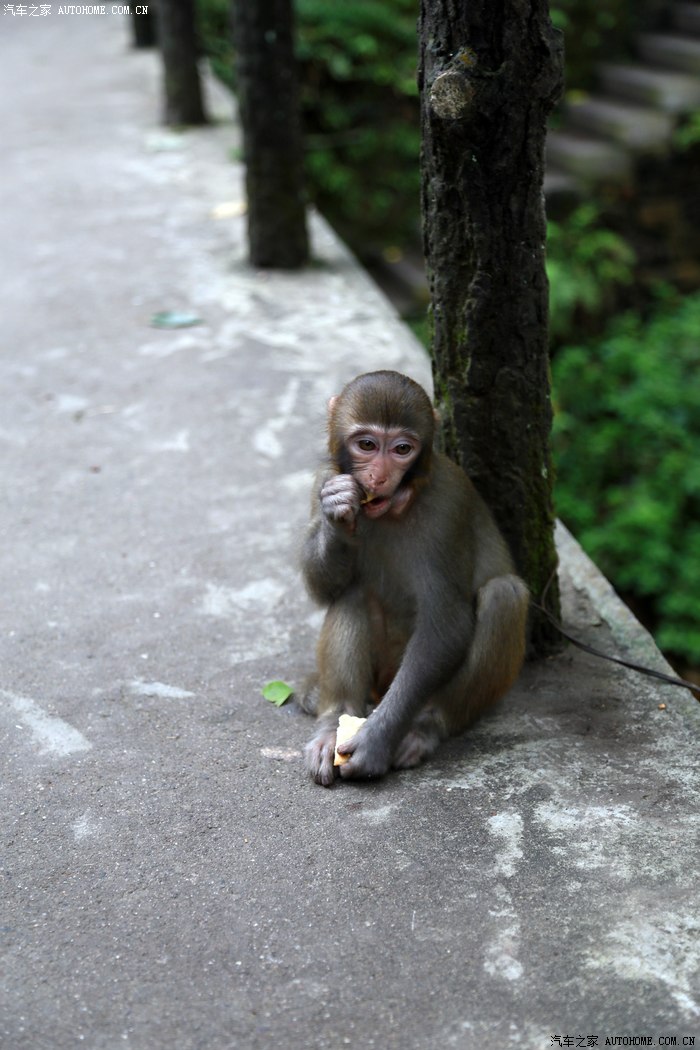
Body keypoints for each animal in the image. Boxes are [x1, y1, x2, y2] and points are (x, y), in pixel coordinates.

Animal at [299, 370, 529, 786]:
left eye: (402, 449)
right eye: (367, 444)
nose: (378, 477)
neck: (393, 508)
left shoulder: (447, 507)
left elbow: (447, 624)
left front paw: (375, 740)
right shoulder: (324, 479)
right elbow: (326, 587)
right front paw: (337, 512)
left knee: (504, 595)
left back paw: (425, 726)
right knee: (353, 591)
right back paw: (333, 721)